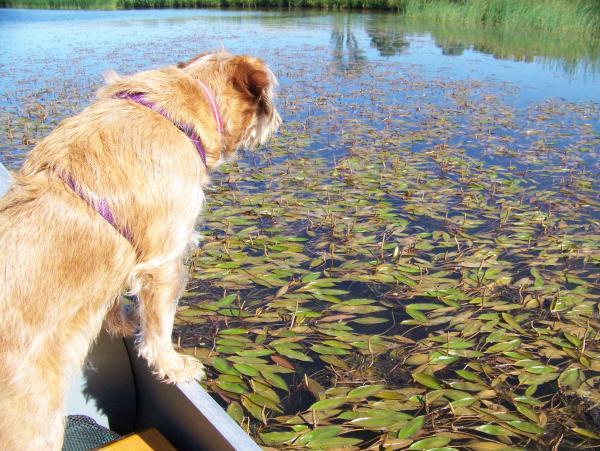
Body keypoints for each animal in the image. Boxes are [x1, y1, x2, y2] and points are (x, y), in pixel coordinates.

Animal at [0, 51, 282, 450]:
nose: (279, 121)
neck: (179, 110)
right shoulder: (164, 261)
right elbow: (160, 328)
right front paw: (174, 366)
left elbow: (115, 299)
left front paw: (123, 324)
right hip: (34, 418)